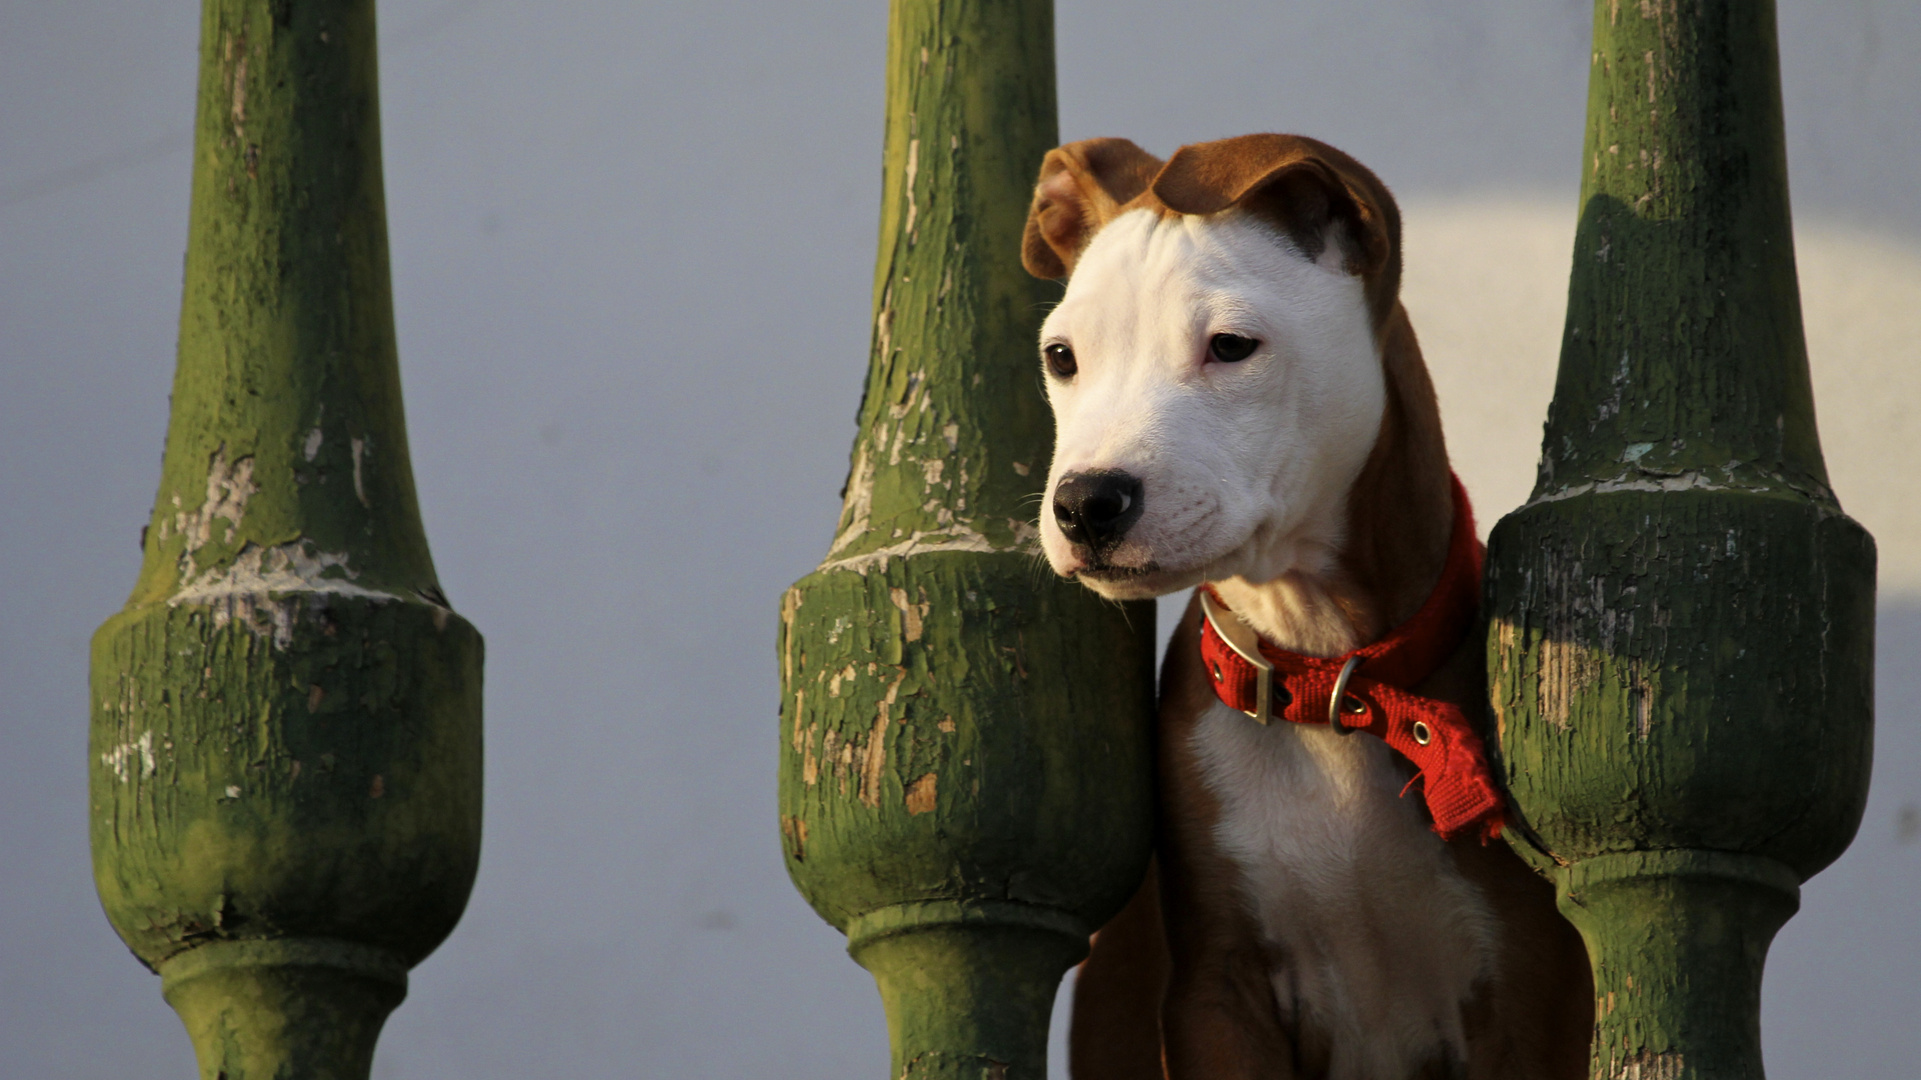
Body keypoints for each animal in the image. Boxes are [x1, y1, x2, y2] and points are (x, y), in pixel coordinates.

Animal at [1021, 136, 1590, 1076]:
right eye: (1061, 357)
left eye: (1229, 346)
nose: (1085, 503)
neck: (1326, 680)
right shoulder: (1217, 992)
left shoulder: (1523, 996)